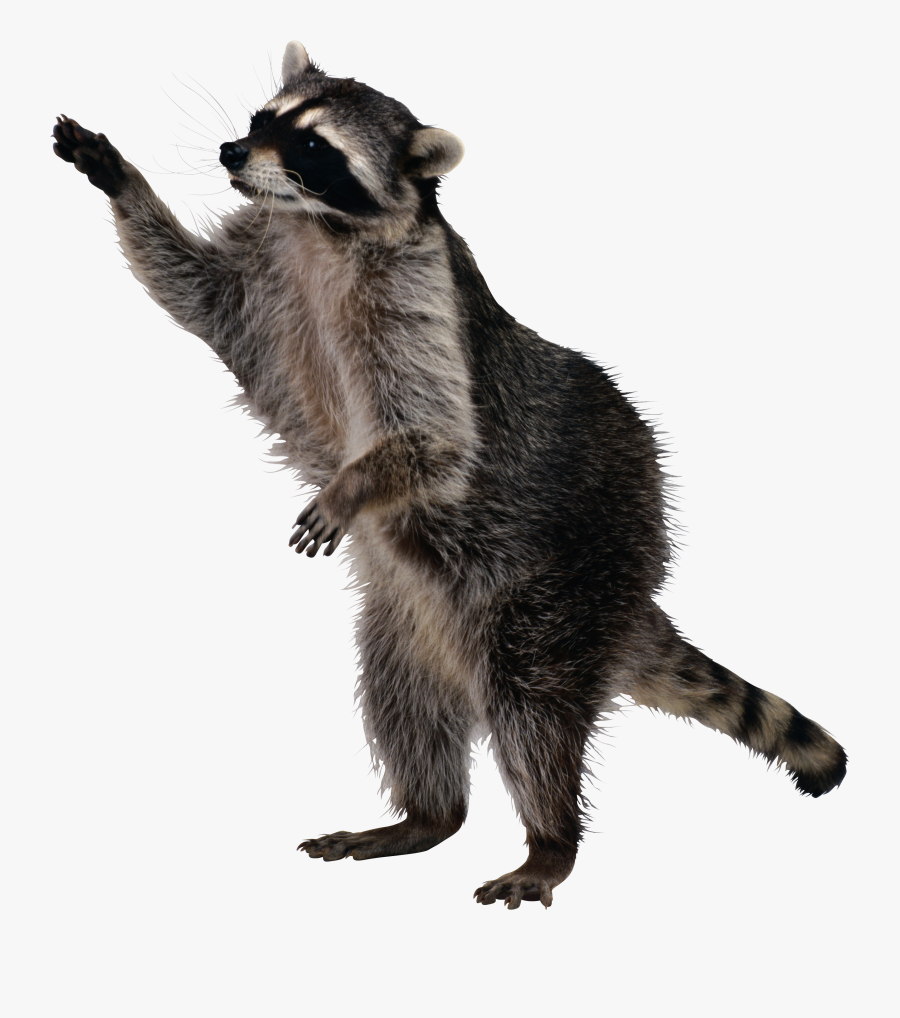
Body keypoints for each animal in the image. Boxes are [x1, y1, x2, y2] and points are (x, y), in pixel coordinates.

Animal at [52, 41, 846, 908]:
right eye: (265, 119)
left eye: (313, 148)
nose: (231, 151)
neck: (316, 228)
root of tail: (630, 600)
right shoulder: (260, 272)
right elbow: (187, 287)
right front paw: (120, 178)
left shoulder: (418, 298)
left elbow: (438, 436)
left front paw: (354, 484)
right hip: (410, 616)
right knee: (404, 698)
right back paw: (426, 816)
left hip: (563, 581)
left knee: (534, 708)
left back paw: (550, 839)